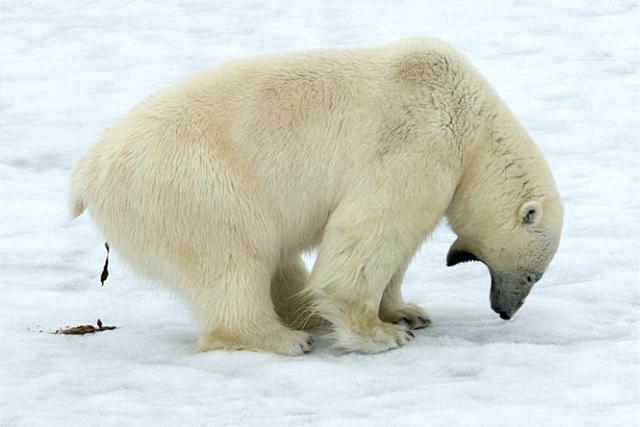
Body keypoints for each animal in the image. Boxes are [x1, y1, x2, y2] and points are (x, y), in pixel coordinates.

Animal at [67, 38, 564, 356]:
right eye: (534, 275)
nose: (504, 311)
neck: (470, 119)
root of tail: (87, 174)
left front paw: (407, 313)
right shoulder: (418, 143)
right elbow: (371, 233)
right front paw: (382, 334)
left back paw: (304, 317)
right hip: (192, 187)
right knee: (231, 260)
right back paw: (282, 337)